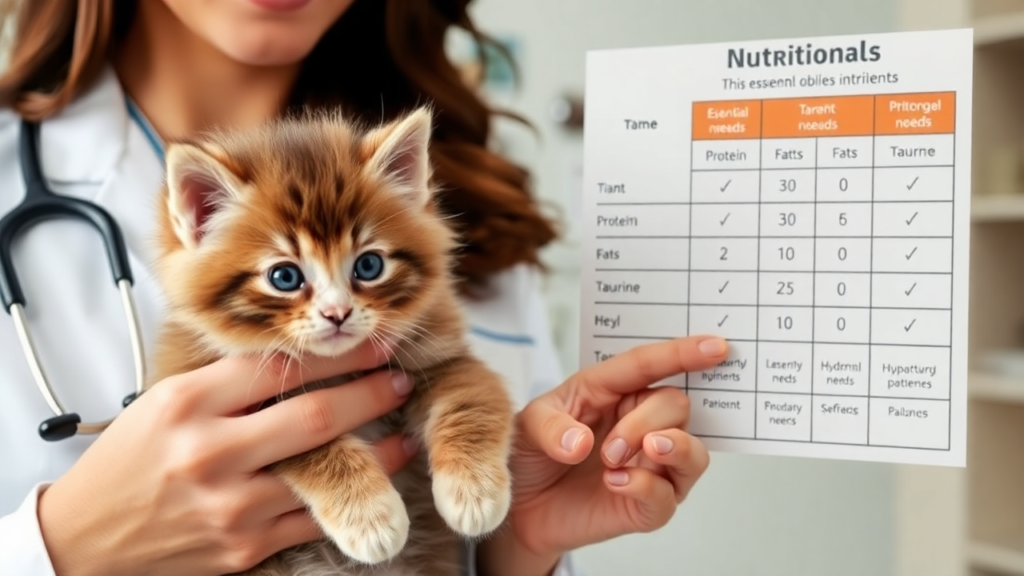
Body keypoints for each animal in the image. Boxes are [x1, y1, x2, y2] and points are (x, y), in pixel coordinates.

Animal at [145, 107, 516, 573]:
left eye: (369, 266)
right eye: (285, 277)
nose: (337, 313)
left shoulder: (442, 356)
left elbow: (470, 402)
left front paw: (475, 492)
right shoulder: (248, 412)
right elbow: (316, 447)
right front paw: (370, 516)